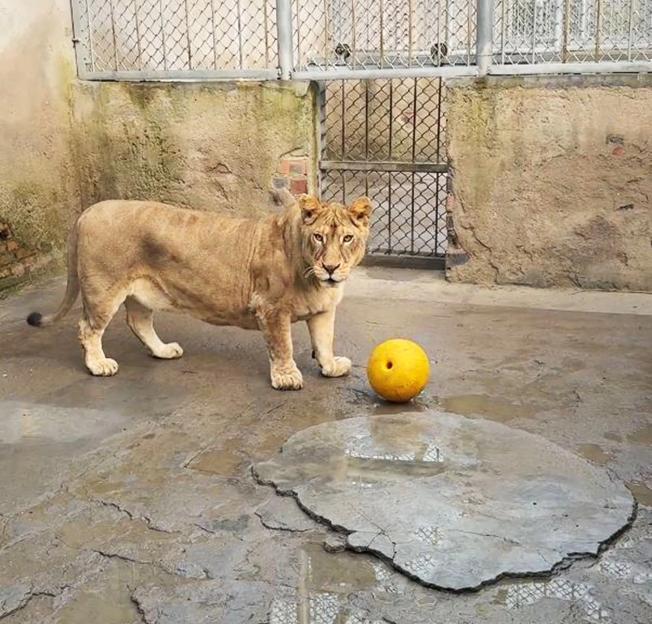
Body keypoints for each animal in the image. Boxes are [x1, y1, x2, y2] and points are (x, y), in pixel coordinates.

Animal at [26, 189, 373, 390]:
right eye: (318, 237)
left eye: (347, 238)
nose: (331, 267)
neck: (314, 279)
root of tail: (87, 211)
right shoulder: (270, 307)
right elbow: (282, 346)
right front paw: (287, 378)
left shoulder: (324, 310)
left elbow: (325, 341)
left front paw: (331, 367)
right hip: (104, 288)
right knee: (87, 327)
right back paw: (99, 365)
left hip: (141, 292)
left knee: (138, 322)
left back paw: (163, 351)